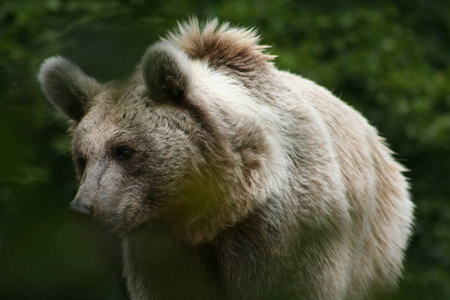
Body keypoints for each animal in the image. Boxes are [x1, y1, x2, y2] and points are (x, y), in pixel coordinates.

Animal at [38, 19, 414, 300]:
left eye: (124, 150)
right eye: (82, 157)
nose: (84, 209)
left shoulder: (289, 233)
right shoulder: (165, 248)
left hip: (375, 243)